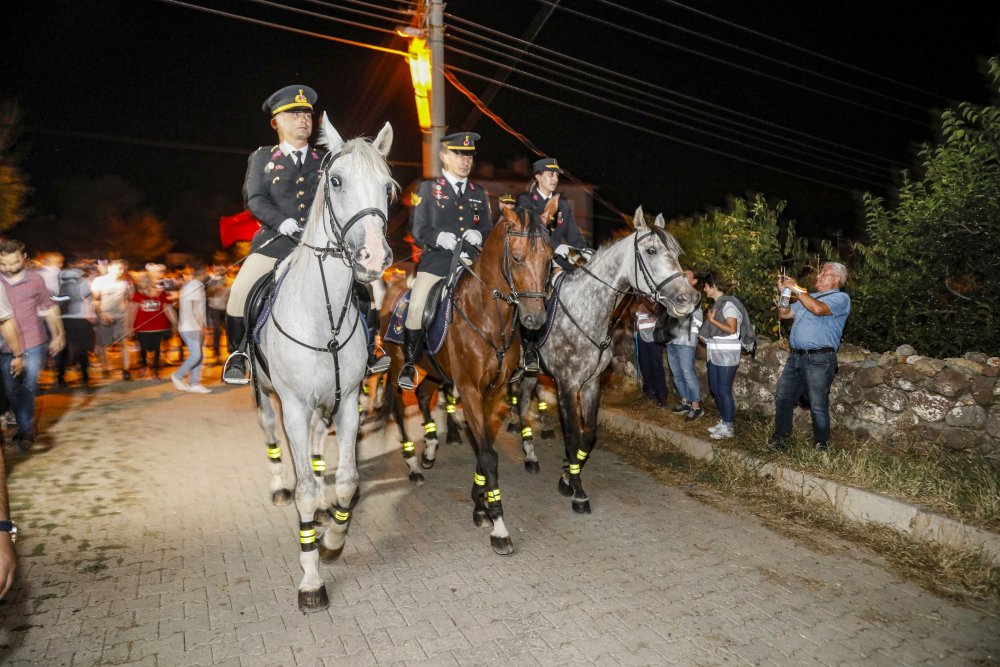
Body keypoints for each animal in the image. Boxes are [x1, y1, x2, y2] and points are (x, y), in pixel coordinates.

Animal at [254, 113, 394, 612]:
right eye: (335, 181)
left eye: (387, 186)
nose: (374, 257)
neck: (323, 314)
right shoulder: (293, 405)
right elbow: (306, 489)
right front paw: (311, 579)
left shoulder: (349, 399)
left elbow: (348, 479)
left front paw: (333, 539)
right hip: (264, 393)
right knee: (272, 433)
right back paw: (278, 483)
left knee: (316, 440)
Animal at [380, 197, 560, 552]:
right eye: (517, 258)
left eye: (548, 260)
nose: (534, 320)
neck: (489, 316)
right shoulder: (469, 390)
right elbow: (488, 456)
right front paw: (498, 524)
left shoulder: (492, 391)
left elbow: (484, 449)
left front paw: (480, 505)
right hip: (396, 366)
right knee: (397, 405)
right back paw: (413, 465)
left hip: (434, 370)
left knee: (423, 396)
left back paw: (430, 450)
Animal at [512, 206, 700, 516]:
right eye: (651, 250)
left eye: (676, 252)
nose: (689, 298)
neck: (587, 310)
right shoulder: (567, 383)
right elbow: (573, 434)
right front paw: (577, 492)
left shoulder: (591, 383)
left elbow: (588, 434)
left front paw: (568, 475)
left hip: (532, 371)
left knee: (525, 398)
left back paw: (530, 453)